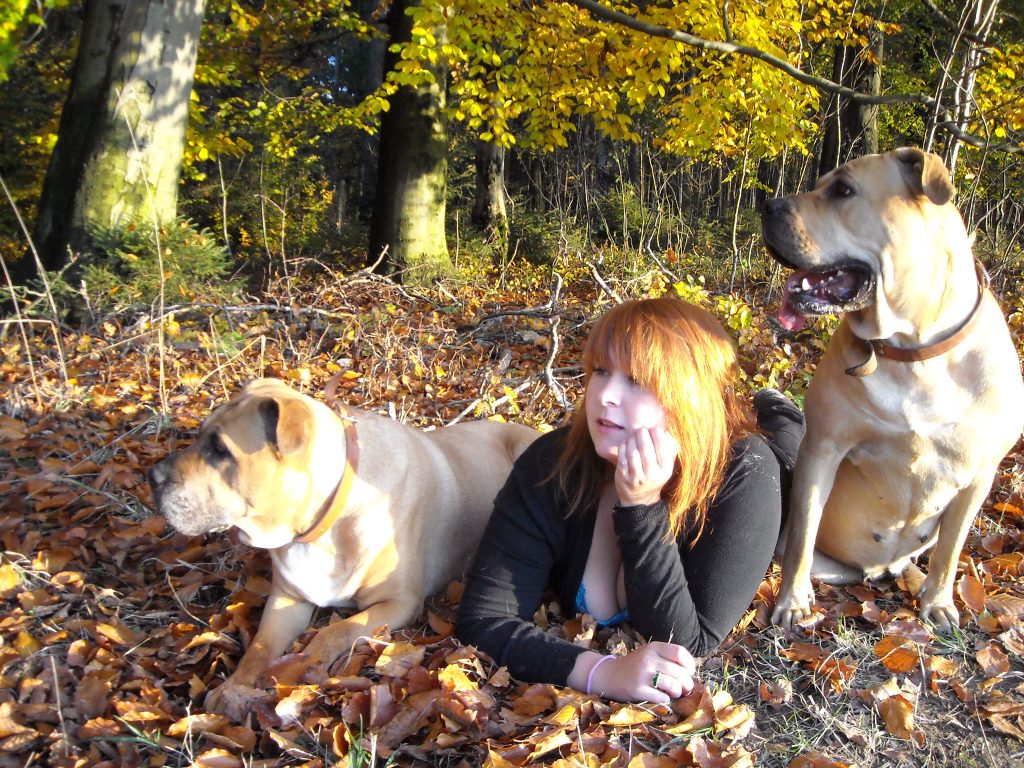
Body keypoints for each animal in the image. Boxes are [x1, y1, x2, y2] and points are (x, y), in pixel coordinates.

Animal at [150, 378, 537, 719]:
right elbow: (258, 648)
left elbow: (333, 631)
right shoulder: (286, 599)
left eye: (221, 450)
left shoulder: (398, 603)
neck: (324, 522)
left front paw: (300, 667)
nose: (154, 477)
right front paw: (234, 688)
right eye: (201, 435)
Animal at [761, 147, 1024, 632]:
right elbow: (803, 535)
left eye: (843, 190)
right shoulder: (823, 448)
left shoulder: (981, 473)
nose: (767, 206)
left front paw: (937, 602)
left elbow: (951, 549)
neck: (912, 351)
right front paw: (792, 602)